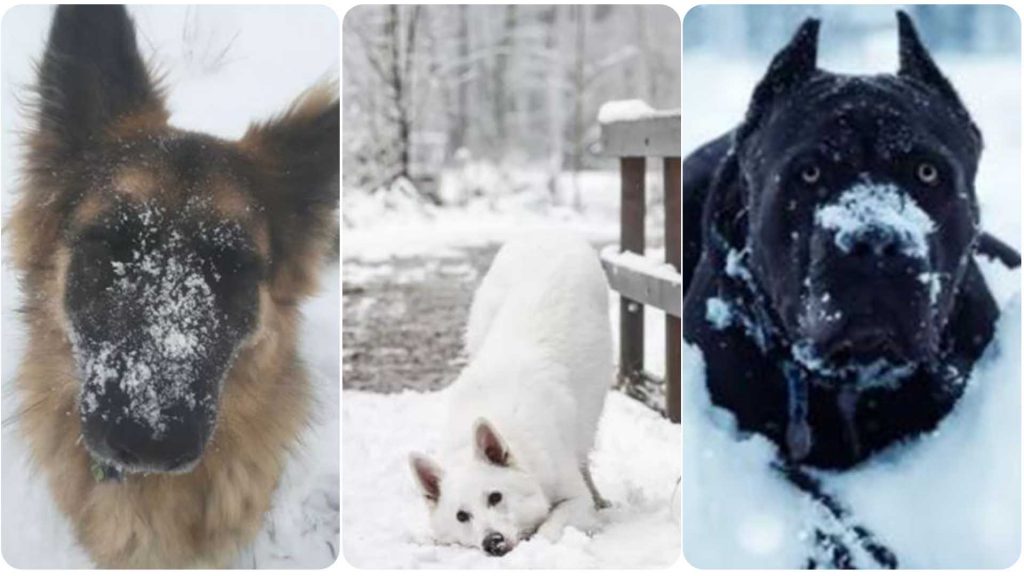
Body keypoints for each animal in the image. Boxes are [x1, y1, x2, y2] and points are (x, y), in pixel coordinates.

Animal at [409, 230, 614, 553]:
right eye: (462, 516)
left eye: (496, 497)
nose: (492, 542)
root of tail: (545, 234)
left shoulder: (573, 498)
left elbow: (550, 527)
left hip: (594, 406)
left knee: (584, 458)